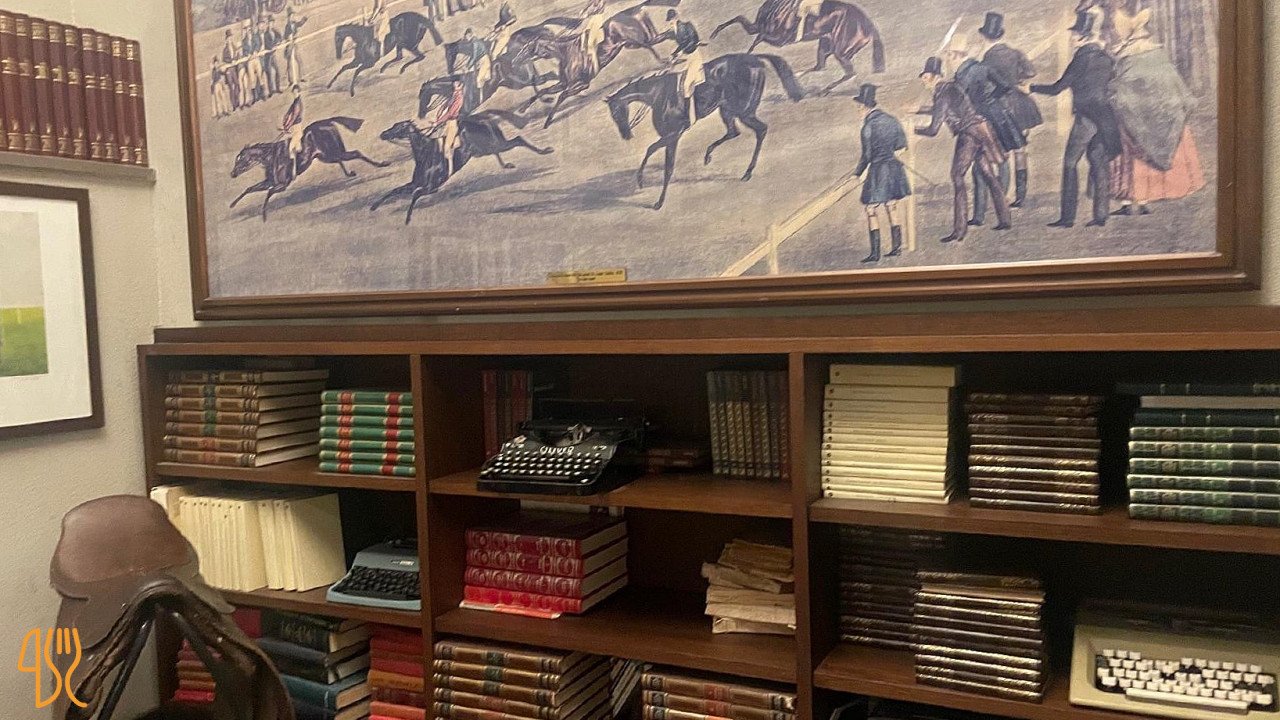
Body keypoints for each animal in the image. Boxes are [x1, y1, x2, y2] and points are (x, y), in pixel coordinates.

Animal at [230, 117, 388, 221]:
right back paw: (350, 173)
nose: (232, 174)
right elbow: (250, 188)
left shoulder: (282, 184)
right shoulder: (270, 182)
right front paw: (232, 204)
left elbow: (268, 193)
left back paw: (381, 164)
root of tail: (327, 121)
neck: (271, 156)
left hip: (332, 152)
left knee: (356, 153)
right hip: (327, 155)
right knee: (342, 158)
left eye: (240, 160)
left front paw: (263, 215)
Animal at [372, 116, 553, 224]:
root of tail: (485, 121)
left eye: (398, 127)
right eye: (393, 125)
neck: (425, 153)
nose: (383, 134)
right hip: (484, 149)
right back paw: (508, 164)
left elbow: (415, 195)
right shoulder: (415, 184)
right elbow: (394, 190)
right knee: (503, 148)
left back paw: (545, 151)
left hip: (495, 144)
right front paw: (374, 206)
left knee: (518, 139)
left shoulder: (431, 187)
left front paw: (408, 218)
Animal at [605, 54, 804, 210]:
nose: (626, 134)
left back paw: (747, 172)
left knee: (760, 130)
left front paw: (656, 200)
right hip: (727, 110)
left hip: (743, 111)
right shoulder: (668, 136)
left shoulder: (673, 135)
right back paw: (710, 157)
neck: (658, 94)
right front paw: (642, 183)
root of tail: (755, 59)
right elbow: (652, 152)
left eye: (615, 111)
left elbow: (661, 161)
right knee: (735, 132)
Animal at [712, 0, 884, 95]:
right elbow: (739, 19)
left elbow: (755, 41)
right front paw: (713, 34)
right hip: (826, 45)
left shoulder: (779, 39)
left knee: (849, 72)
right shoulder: (756, 27)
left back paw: (822, 90)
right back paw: (802, 79)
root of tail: (869, 25)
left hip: (840, 52)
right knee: (821, 66)